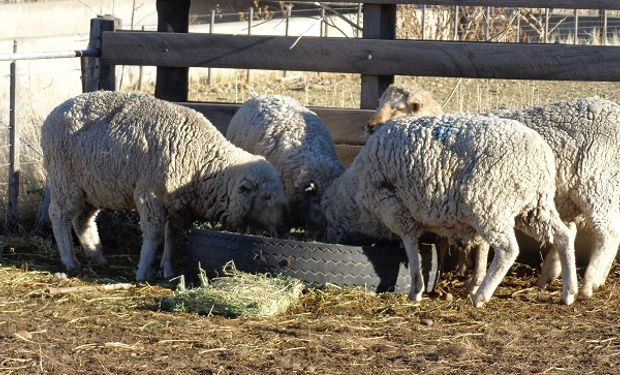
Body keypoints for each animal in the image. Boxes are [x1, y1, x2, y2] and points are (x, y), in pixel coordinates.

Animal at [41, 91, 288, 282]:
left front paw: (168, 269)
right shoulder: (149, 196)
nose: (284, 227)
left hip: (93, 187)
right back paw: (70, 261)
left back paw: (96, 255)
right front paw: (143, 271)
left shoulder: (178, 205)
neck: (202, 162)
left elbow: (172, 237)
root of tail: (55, 111)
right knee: (59, 216)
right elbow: (154, 236)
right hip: (65, 181)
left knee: (82, 220)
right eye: (266, 197)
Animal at [322, 114, 580, 308]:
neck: (356, 192)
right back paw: (568, 293)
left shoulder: (396, 210)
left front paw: (416, 290)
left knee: (508, 250)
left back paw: (482, 296)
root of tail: (541, 156)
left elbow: (411, 248)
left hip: (490, 202)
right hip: (535, 206)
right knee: (563, 236)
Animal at [368, 83, 620, 298]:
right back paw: (565, 278)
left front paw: (474, 282)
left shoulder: (483, 199)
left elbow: (481, 245)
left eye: (398, 108)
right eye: (380, 103)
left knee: (608, 233)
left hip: (598, 184)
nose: (370, 126)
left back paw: (589, 284)